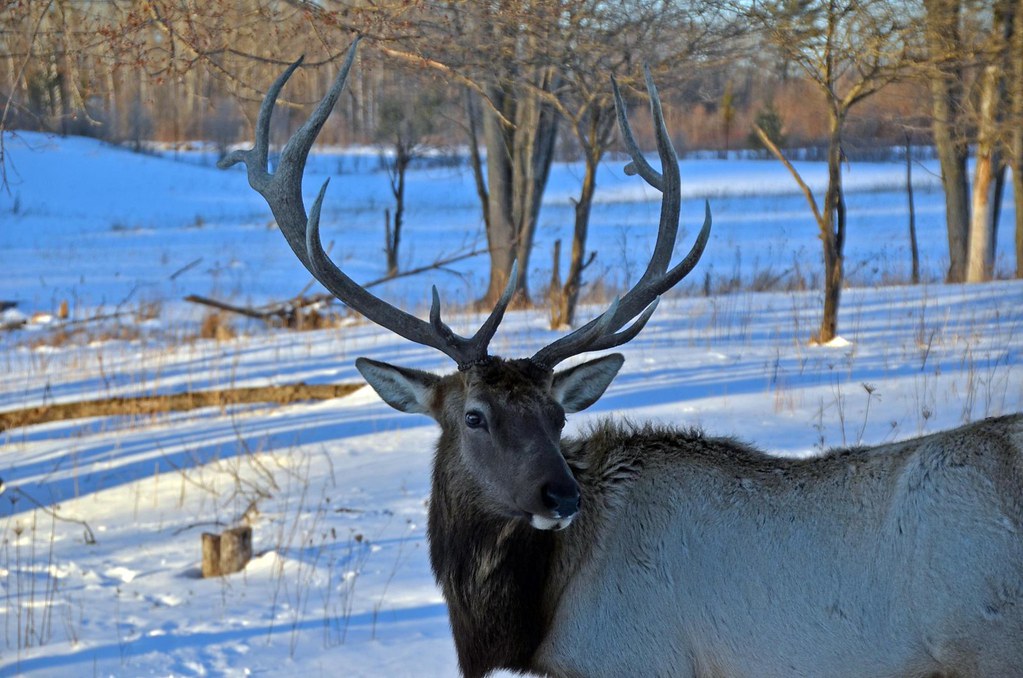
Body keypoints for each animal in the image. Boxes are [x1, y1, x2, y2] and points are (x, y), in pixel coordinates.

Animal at [220, 39, 1023, 678]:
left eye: (555, 416)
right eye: (475, 416)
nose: (560, 495)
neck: (534, 625)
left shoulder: (635, 661)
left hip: (986, 647)